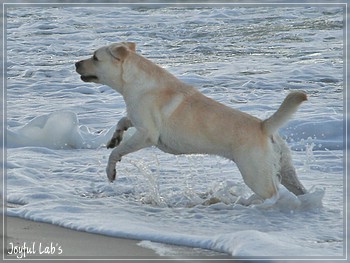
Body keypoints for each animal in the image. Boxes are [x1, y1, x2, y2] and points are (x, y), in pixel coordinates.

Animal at [76, 42, 306, 201]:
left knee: (272, 193)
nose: (75, 63)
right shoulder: (136, 119)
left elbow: (116, 153)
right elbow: (122, 121)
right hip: (286, 171)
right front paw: (114, 137)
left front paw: (111, 171)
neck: (134, 81)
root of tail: (264, 126)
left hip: (256, 174)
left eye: (95, 57)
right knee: (299, 189)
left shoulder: (146, 134)